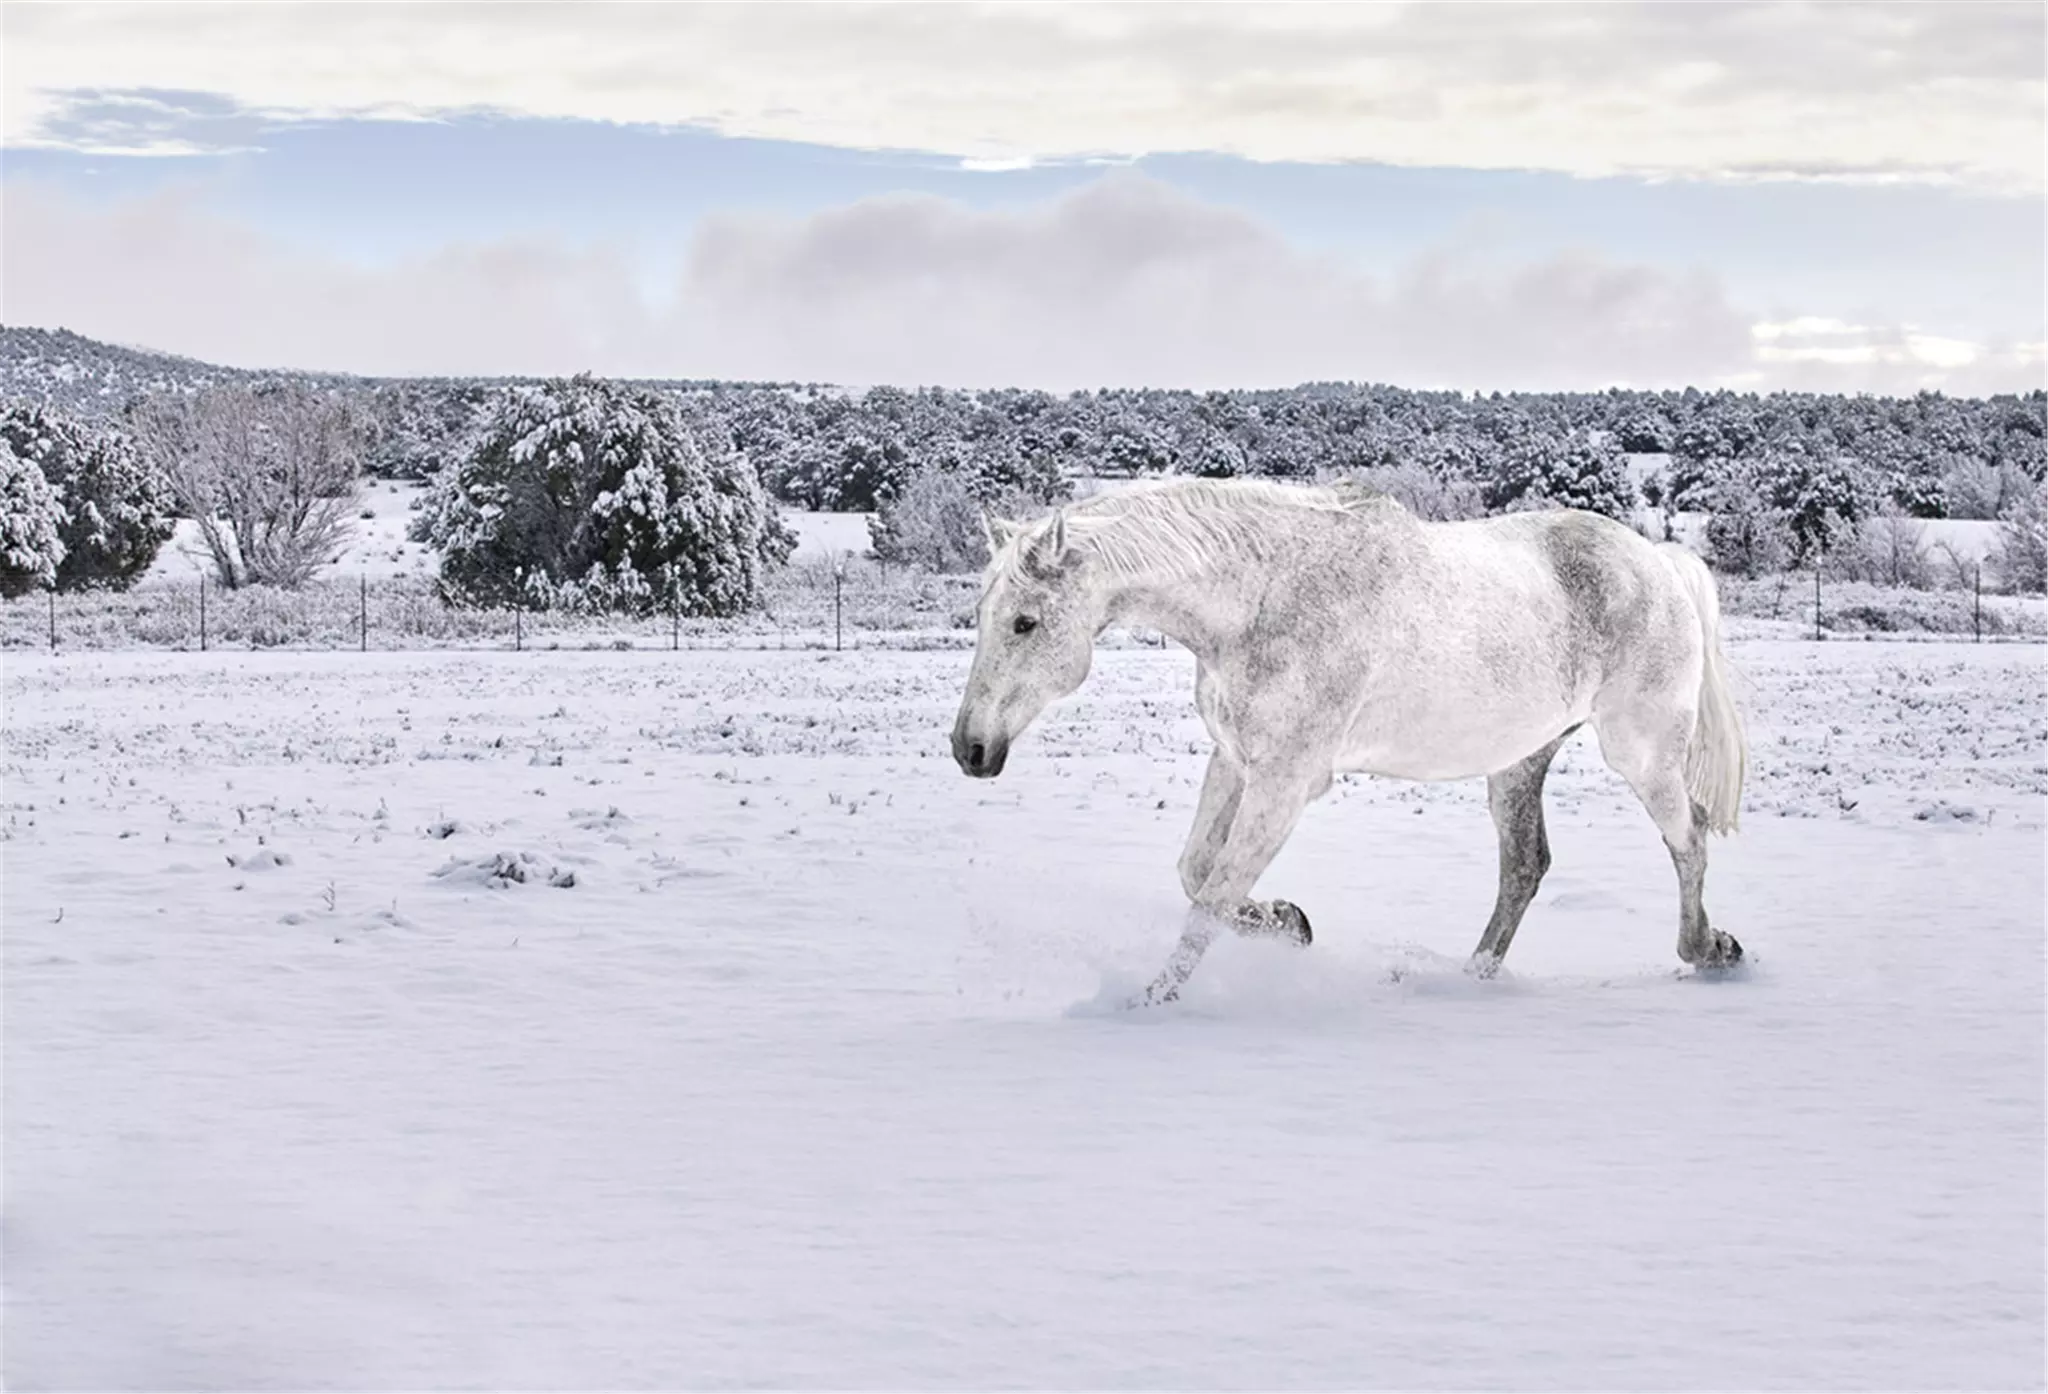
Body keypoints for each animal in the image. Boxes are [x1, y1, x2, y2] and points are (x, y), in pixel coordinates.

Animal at [946, 478, 1744, 998]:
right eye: (981, 615)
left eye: (1025, 622)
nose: (969, 750)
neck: (1263, 599)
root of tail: (1659, 561)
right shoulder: (1235, 760)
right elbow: (1197, 874)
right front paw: (1287, 921)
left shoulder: (1286, 781)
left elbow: (1211, 899)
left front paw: (1153, 1003)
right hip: (1519, 762)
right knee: (1525, 866)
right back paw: (1470, 978)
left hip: (1640, 752)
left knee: (1690, 838)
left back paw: (1710, 949)